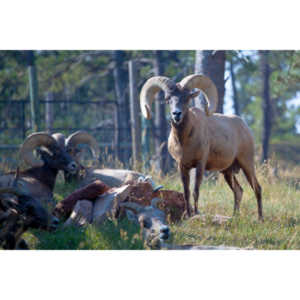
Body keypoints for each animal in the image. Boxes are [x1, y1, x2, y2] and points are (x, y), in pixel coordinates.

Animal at [140, 74, 262, 221]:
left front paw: (196, 213)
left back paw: (260, 219)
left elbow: (195, 191)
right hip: (227, 172)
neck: (184, 141)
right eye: (168, 99)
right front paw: (188, 215)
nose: (176, 114)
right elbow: (186, 192)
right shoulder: (182, 166)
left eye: (187, 98)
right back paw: (234, 217)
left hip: (246, 164)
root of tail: (245, 127)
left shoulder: (200, 164)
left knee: (257, 188)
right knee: (238, 191)